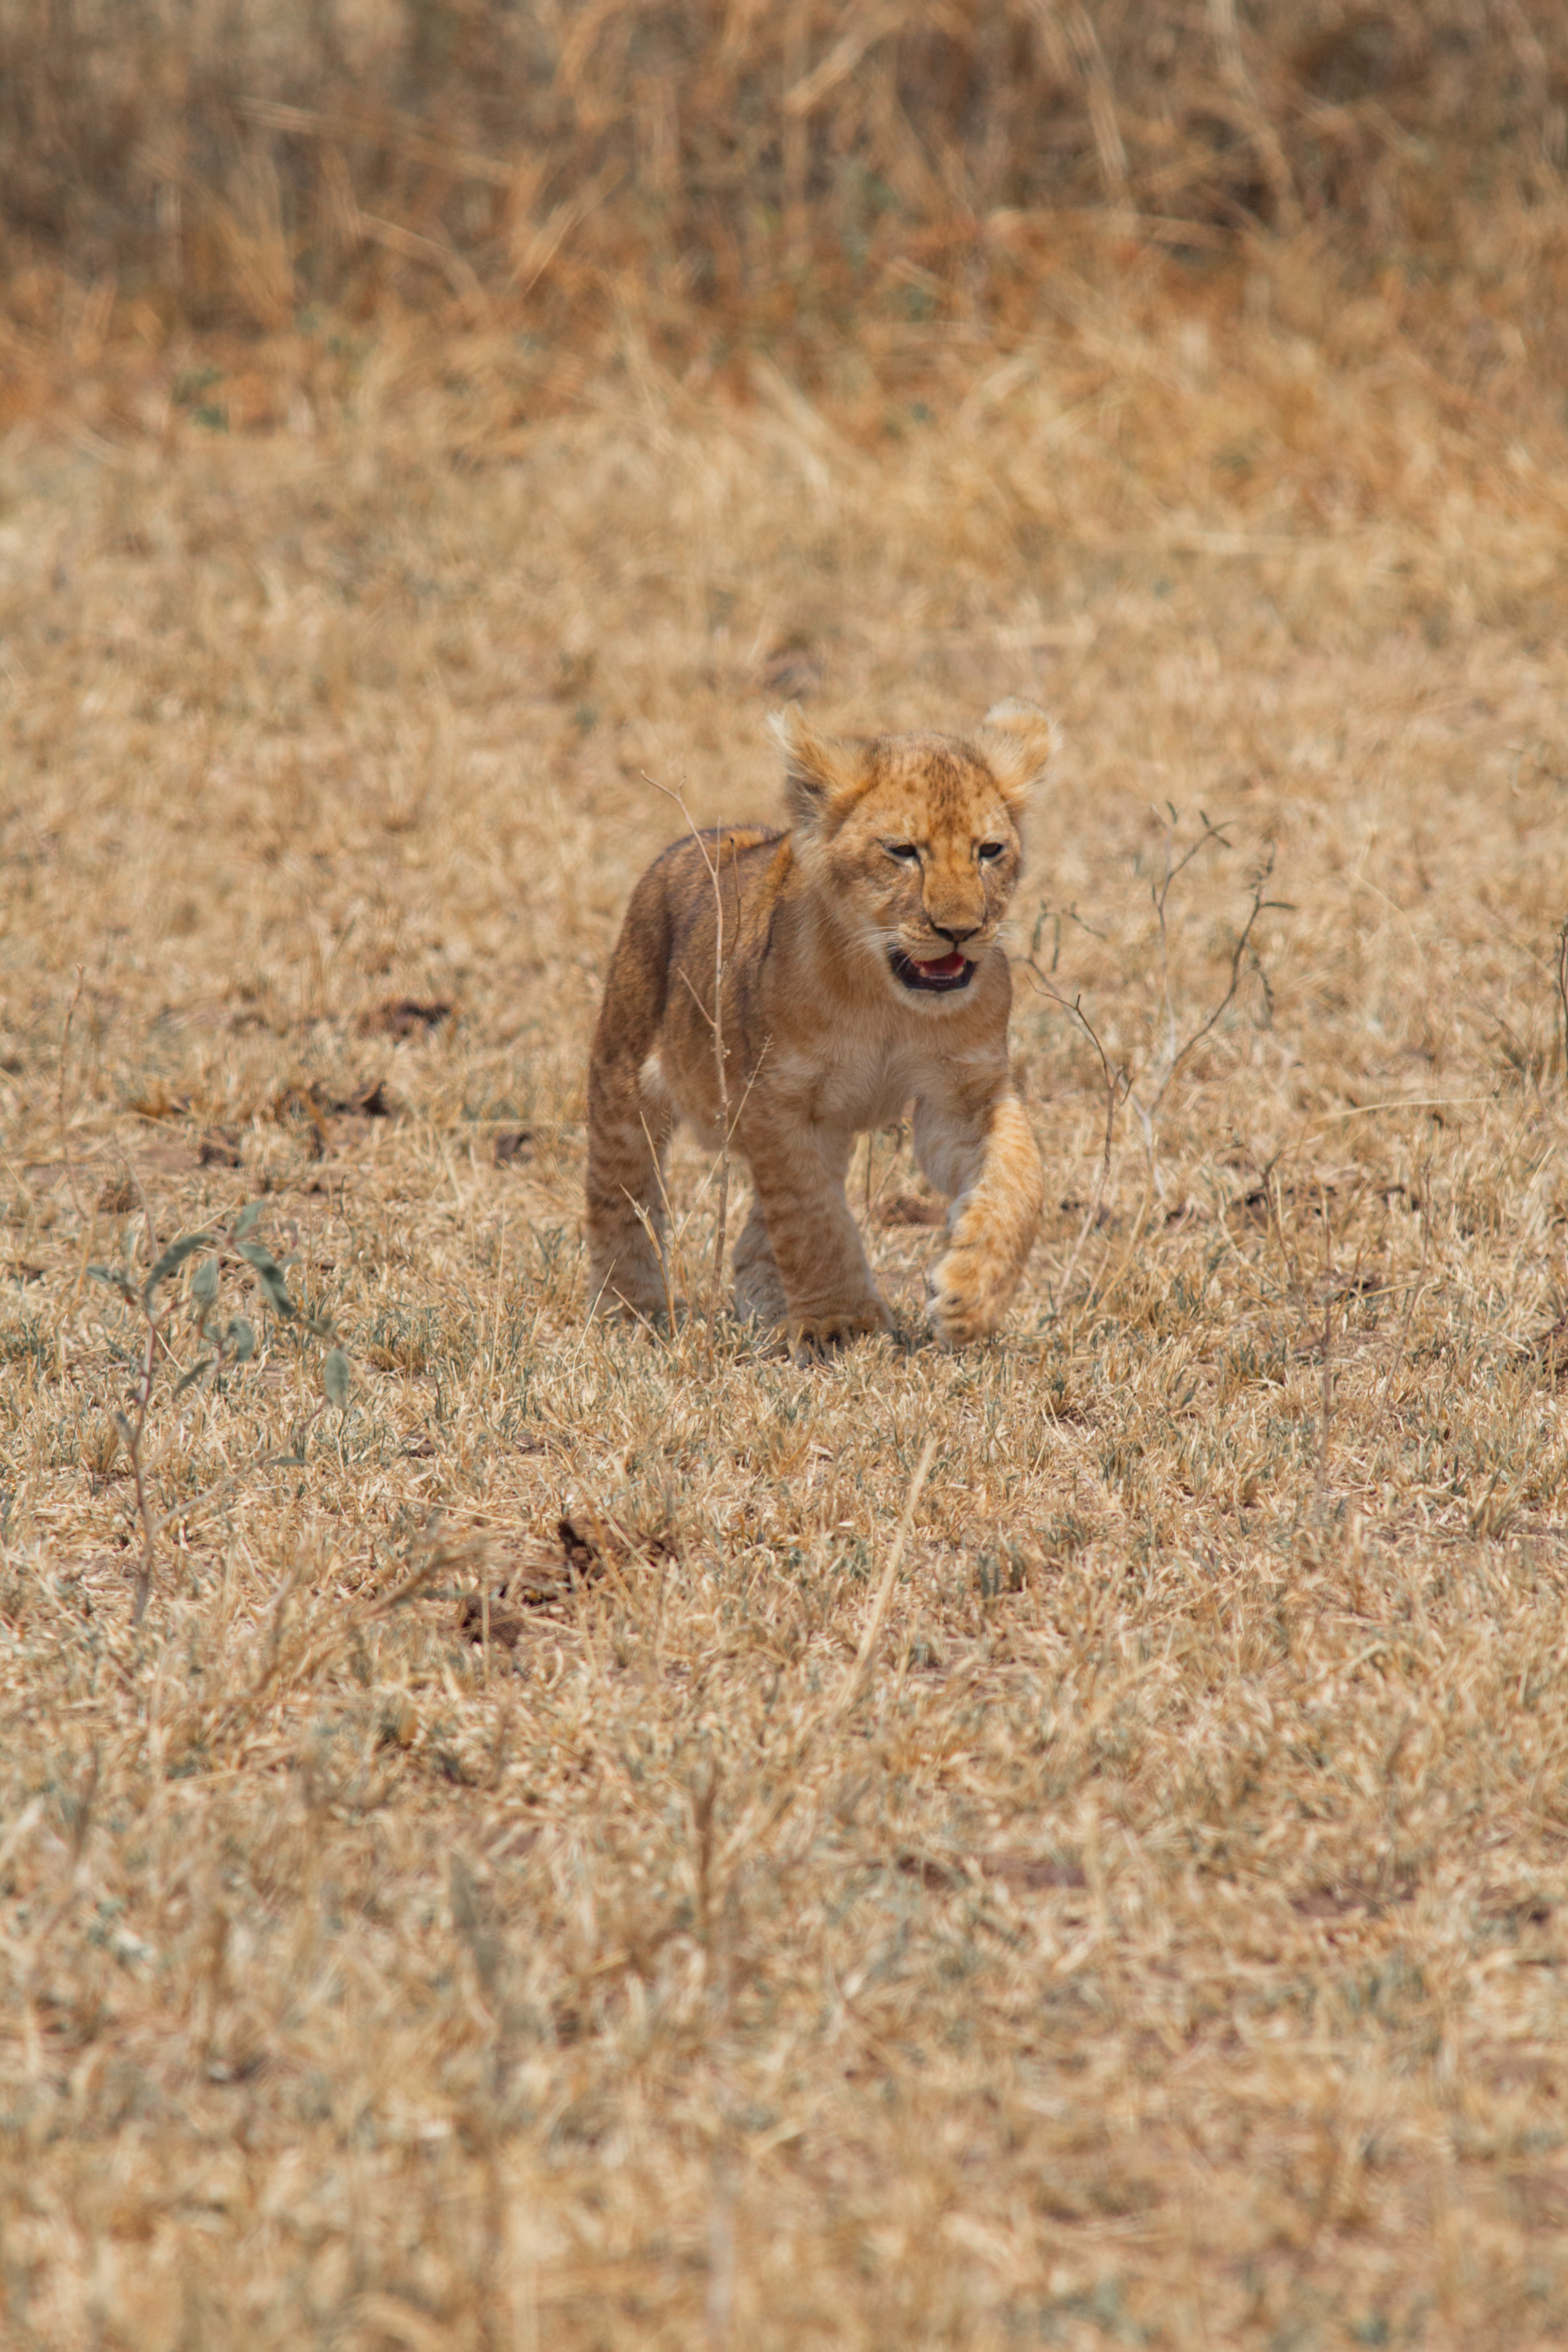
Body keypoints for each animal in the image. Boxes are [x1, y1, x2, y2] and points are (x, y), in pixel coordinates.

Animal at [585, 700, 1051, 1359]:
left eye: (989, 851)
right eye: (903, 851)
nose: (960, 930)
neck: (889, 1003)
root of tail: (703, 842)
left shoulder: (963, 1094)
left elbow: (1018, 1178)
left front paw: (969, 1298)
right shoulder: (776, 1100)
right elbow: (810, 1219)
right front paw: (842, 1324)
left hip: (827, 1128)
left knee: (757, 1233)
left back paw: (766, 1311)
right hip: (624, 1073)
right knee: (620, 1192)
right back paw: (630, 1310)